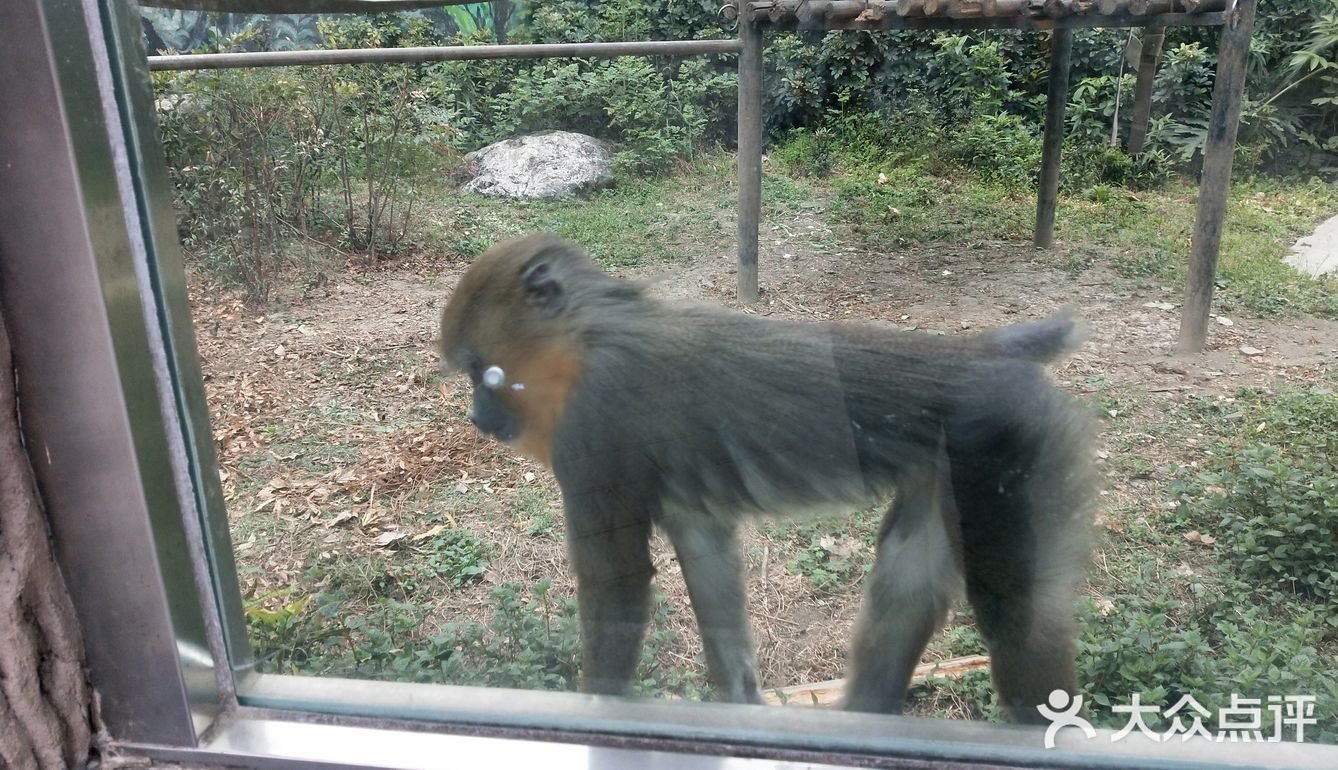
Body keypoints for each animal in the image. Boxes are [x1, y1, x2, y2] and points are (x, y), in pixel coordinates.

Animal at [441, 233, 1097, 723]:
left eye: (482, 373)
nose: (476, 416)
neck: (590, 336)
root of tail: (984, 356)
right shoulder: (682, 505)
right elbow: (708, 563)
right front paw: (740, 702)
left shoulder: (594, 426)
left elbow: (617, 583)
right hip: (951, 475)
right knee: (905, 587)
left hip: (1007, 452)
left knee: (1019, 615)